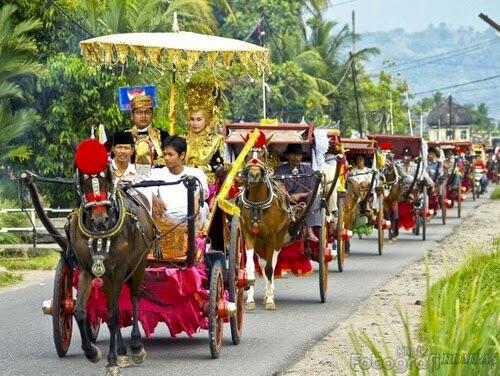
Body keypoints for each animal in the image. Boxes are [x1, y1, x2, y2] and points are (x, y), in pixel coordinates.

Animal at [68, 167, 154, 376]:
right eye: (84, 180)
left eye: (106, 178)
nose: (100, 220)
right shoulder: (87, 271)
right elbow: (80, 311)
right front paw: (92, 352)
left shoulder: (118, 271)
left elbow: (113, 315)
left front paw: (112, 361)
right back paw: (122, 350)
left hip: (138, 265)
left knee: (134, 297)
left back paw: (136, 346)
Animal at [238, 156, 290, 312]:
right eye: (249, 158)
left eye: (261, 159)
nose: (254, 175)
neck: (257, 204)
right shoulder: (249, 235)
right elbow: (250, 266)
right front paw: (250, 300)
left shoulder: (271, 236)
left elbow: (269, 268)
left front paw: (270, 300)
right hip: (259, 241)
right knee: (262, 262)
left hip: (279, 235)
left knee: (272, 262)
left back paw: (269, 292)